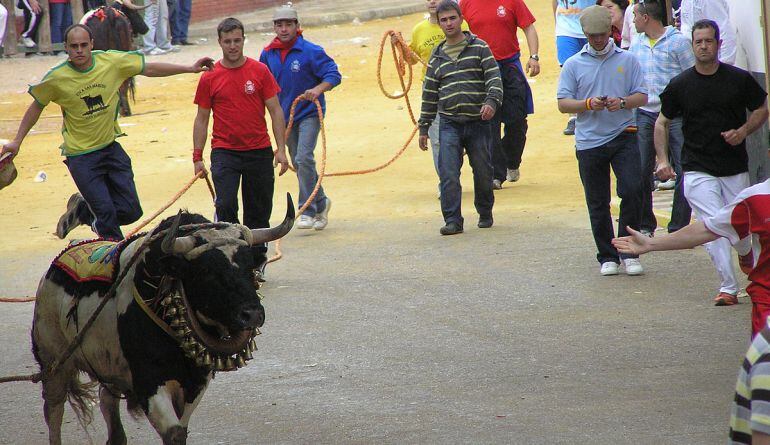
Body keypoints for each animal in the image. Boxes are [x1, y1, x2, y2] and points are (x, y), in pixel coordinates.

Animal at [32, 196, 294, 442]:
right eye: (207, 271)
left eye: (250, 266)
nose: (252, 314)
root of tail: (49, 274)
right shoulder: (149, 382)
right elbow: (174, 433)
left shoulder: (196, 382)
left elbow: (183, 428)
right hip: (54, 365)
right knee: (53, 412)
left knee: (107, 400)